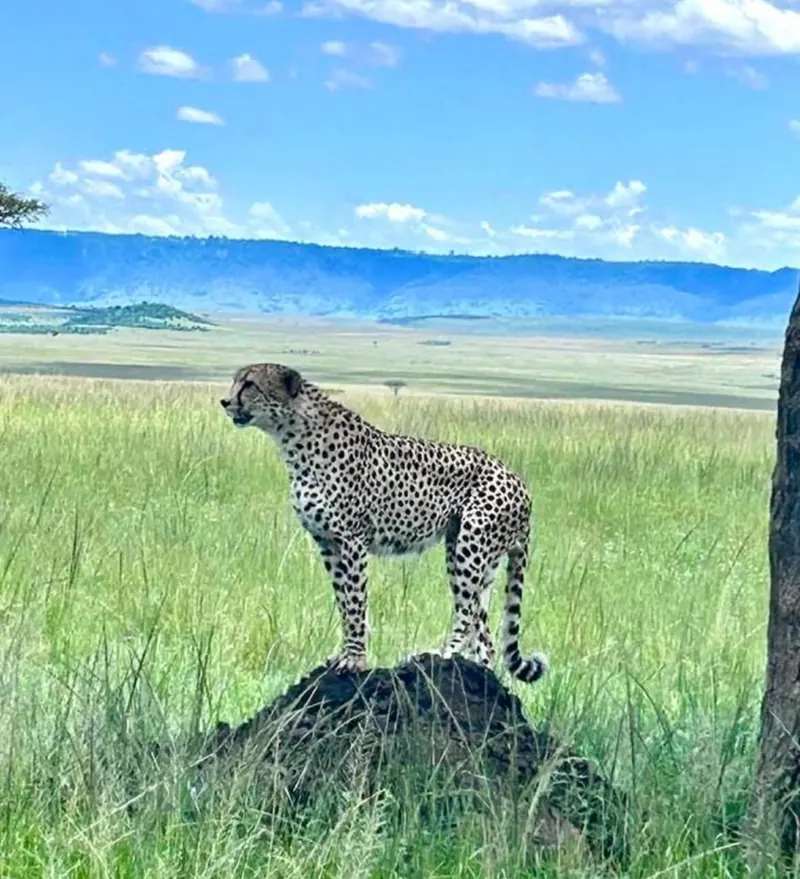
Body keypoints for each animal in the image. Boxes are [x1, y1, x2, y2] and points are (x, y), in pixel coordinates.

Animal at [219, 362, 548, 684]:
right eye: (236, 381)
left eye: (249, 384)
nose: (225, 401)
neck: (294, 436)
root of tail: (521, 483)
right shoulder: (328, 543)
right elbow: (344, 602)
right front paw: (346, 653)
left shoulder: (352, 541)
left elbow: (354, 601)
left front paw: (355, 659)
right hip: (464, 552)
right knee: (484, 634)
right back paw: (479, 672)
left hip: (472, 545)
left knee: (467, 615)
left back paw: (442, 653)